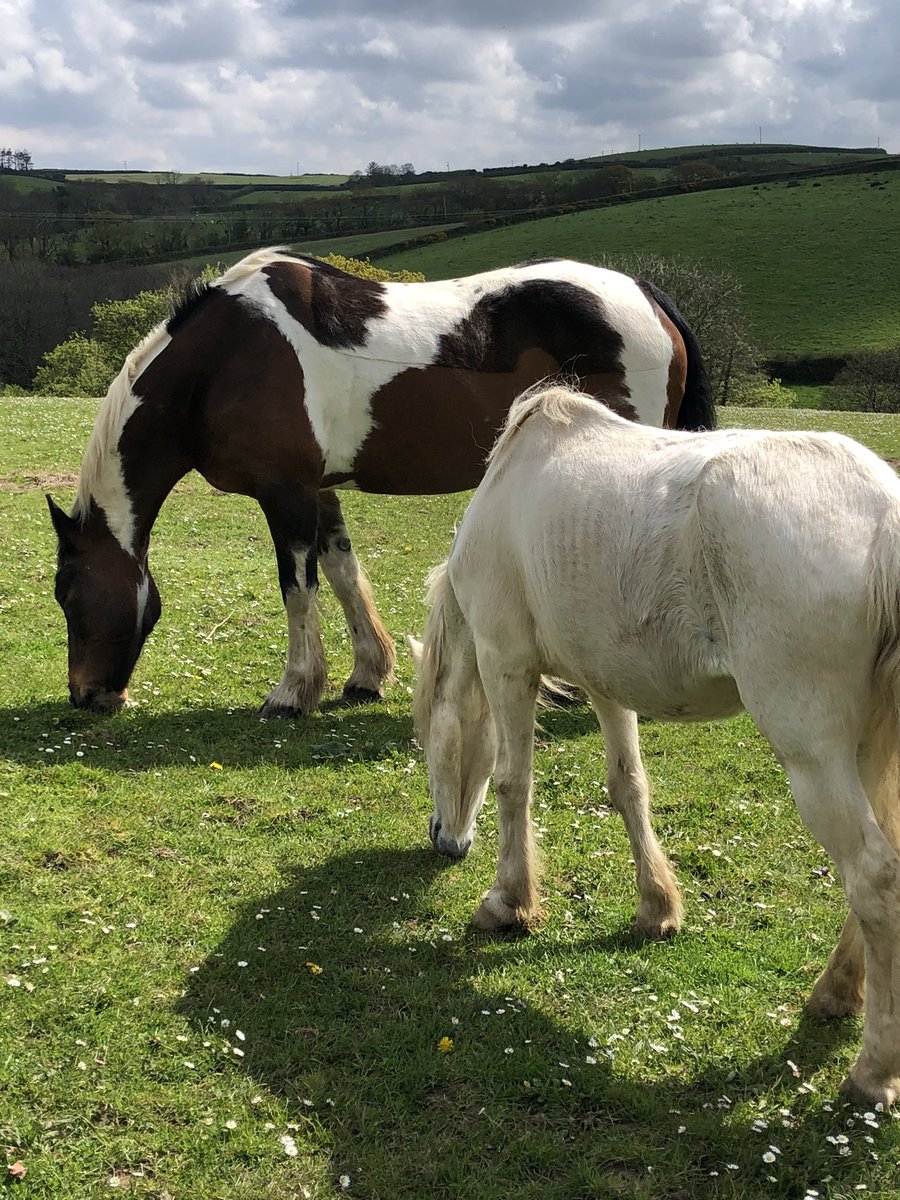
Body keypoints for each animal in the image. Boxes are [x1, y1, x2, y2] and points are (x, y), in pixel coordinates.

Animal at [49, 243, 715, 710]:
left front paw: (293, 691)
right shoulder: (318, 490)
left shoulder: (283, 493)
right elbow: (342, 574)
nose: (86, 696)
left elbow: (298, 588)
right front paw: (366, 674)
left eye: (68, 593)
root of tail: (646, 294)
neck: (223, 357)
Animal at [412, 384, 900, 1104]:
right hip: (869, 747)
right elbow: (628, 786)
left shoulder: (506, 663)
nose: (442, 839)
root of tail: (884, 518)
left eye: (426, 739)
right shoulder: (605, 681)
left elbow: (511, 782)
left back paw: (872, 1071)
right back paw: (836, 993)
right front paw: (656, 908)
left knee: (872, 875)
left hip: (816, 758)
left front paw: (510, 903)